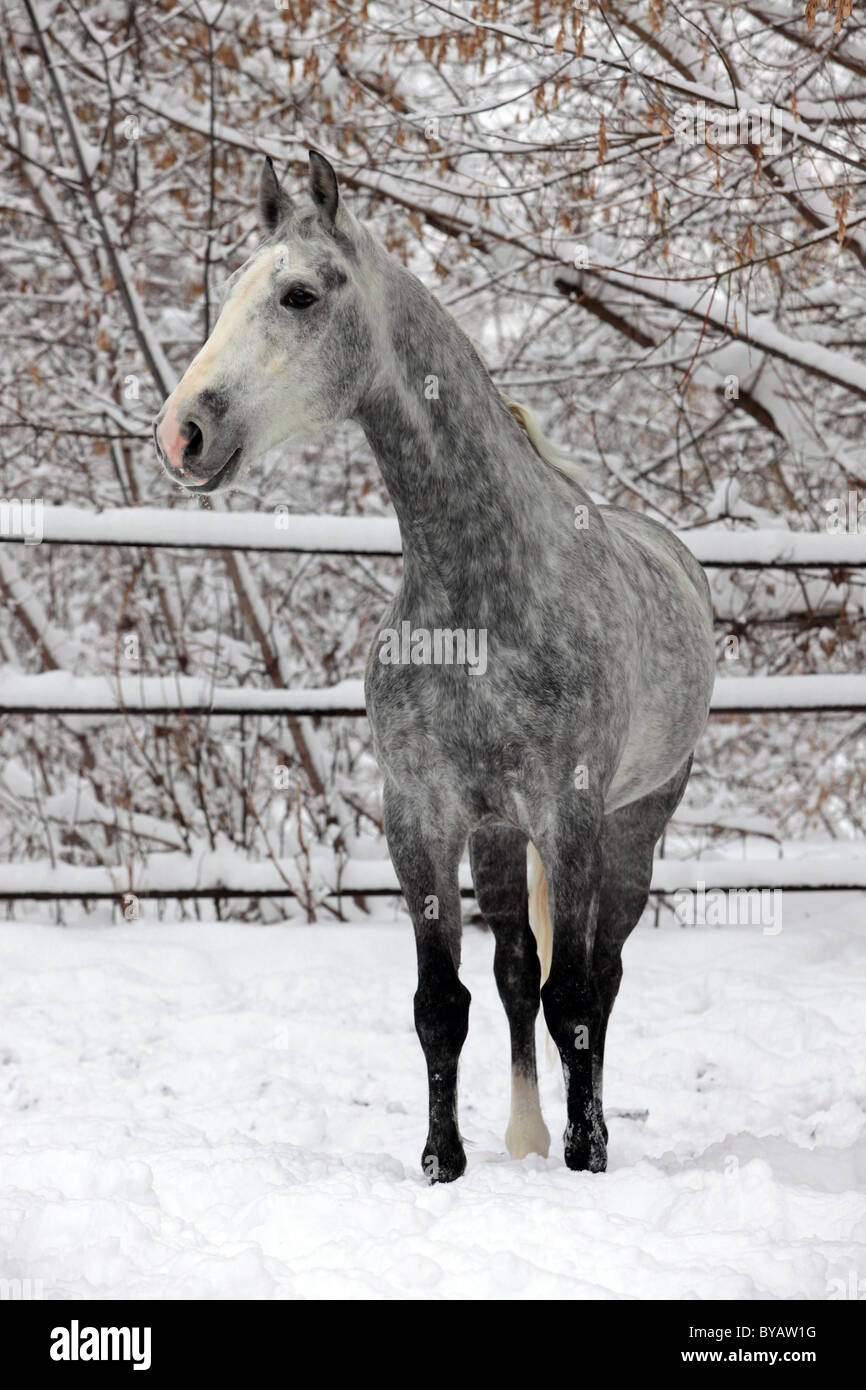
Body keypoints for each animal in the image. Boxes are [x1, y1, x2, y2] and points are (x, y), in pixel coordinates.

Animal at [155, 152, 717, 1178]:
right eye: (230, 294)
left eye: (299, 294)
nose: (183, 433)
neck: (482, 598)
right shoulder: (421, 811)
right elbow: (443, 1003)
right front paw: (442, 1162)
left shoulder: (571, 813)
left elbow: (577, 998)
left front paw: (585, 1158)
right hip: (498, 836)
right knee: (515, 973)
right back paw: (525, 1136)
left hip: (637, 825)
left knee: (603, 977)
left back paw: (584, 1134)